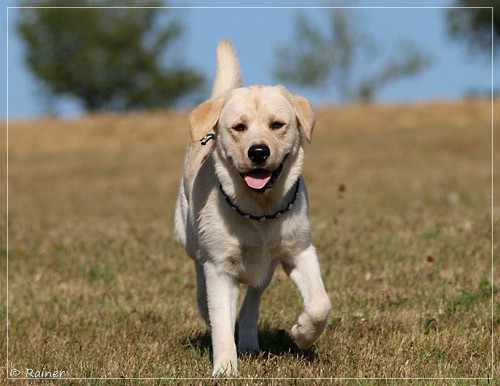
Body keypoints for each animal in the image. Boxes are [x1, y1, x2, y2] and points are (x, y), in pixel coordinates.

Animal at [176, 40, 332, 376]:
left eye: (277, 125)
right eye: (239, 127)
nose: (258, 152)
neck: (259, 209)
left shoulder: (299, 250)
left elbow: (320, 304)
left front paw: (302, 334)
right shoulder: (220, 267)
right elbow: (221, 323)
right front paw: (224, 369)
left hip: (266, 268)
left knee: (252, 302)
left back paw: (248, 342)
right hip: (191, 243)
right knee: (205, 295)